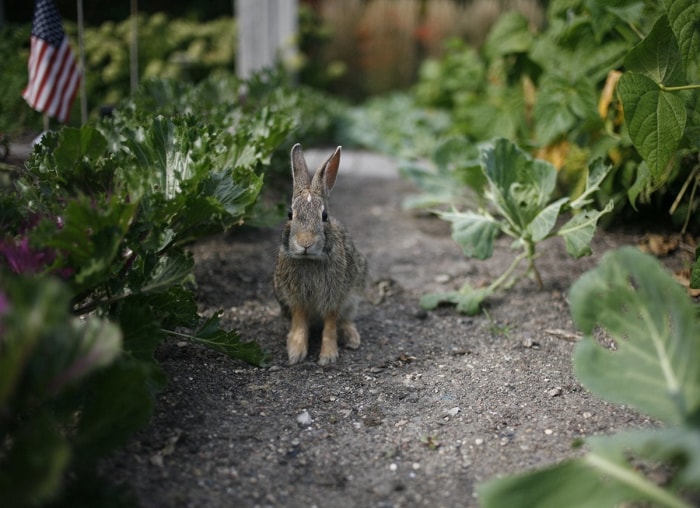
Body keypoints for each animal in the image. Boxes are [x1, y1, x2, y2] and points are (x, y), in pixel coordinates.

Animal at [274, 143, 370, 366]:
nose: (305, 243)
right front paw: (295, 353)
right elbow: (300, 321)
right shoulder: (296, 298)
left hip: (354, 296)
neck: (310, 259)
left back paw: (352, 338)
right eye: (290, 215)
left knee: (345, 319)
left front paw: (328, 356)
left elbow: (330, 323)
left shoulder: (334, 295)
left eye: (324, 216)